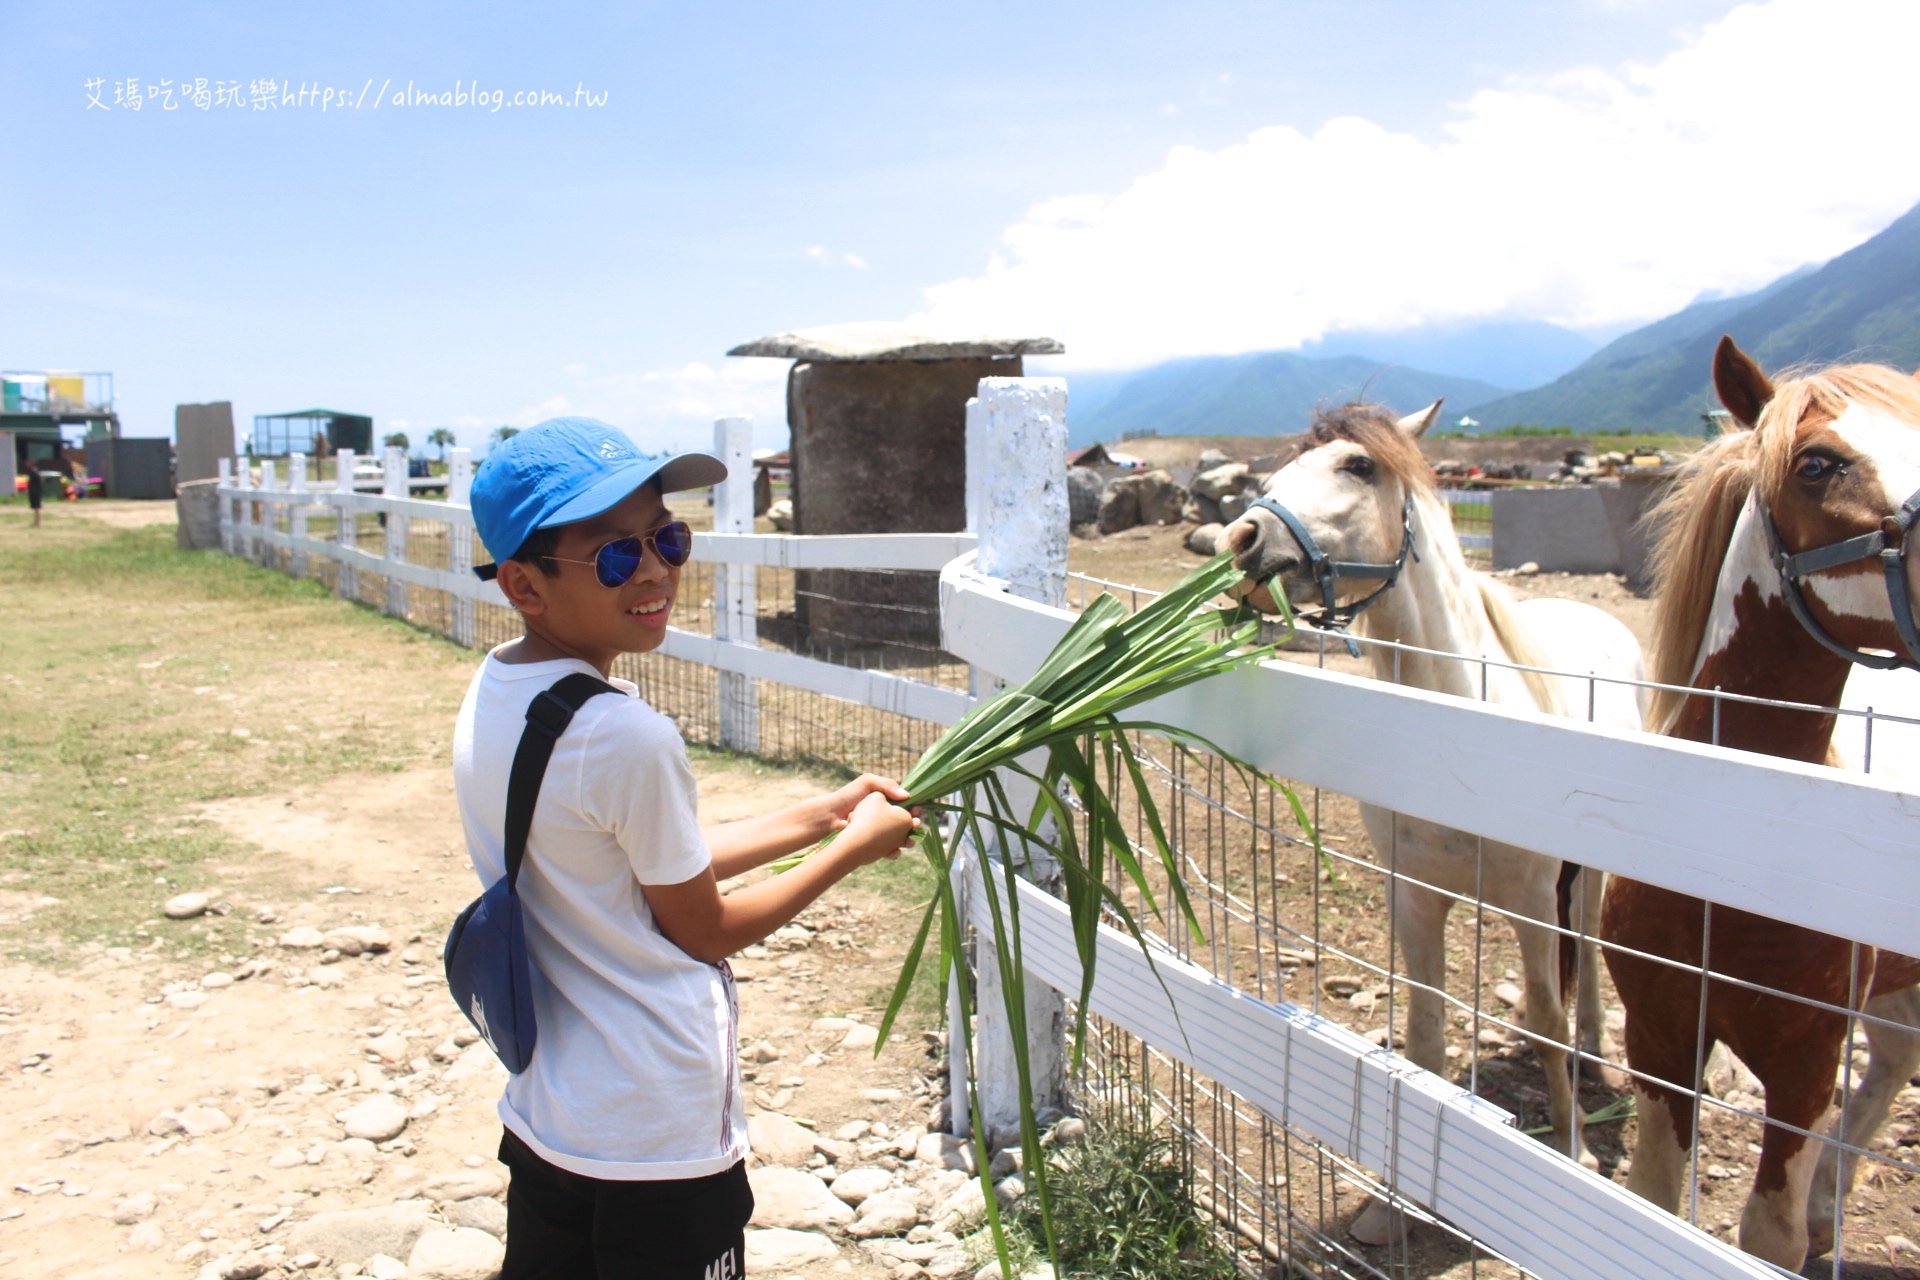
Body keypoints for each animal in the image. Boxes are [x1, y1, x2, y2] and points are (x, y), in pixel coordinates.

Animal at [1221, 397, 1643, 1243]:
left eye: (1359, 465)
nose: (1238, 539)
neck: (1455, 732)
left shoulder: (1528, 899)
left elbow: (1546, 1017)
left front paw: (1573, 1152)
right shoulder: (1413, 897)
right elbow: (1422, 1034)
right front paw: (1393, 1205)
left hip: (1582, 877)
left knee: (1584, 953)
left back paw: (1592, 1054)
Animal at [1605, 337, 1920, 1274]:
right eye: (1817, 463)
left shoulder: (1805, 1064)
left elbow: (1763, 1237)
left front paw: (1797, 1224)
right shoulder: (1660, 1033)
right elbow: (1654, 1201)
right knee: (1895, 1057)